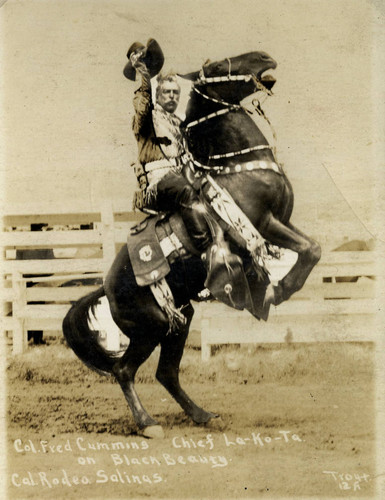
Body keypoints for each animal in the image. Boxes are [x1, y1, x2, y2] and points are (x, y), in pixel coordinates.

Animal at [63, 50, 320, 438]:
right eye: (216, 66)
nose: (264, 57)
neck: (239, 165)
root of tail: (105, 287)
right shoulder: (263, 223)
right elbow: (309, 250)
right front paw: (280, 289)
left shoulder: (283, 221)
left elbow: (311, 247)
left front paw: (273, 289)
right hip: (151, 327)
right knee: (124, 371)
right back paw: (148, 423)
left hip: (179, 320)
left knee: (166, 373)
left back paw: (201, 415)